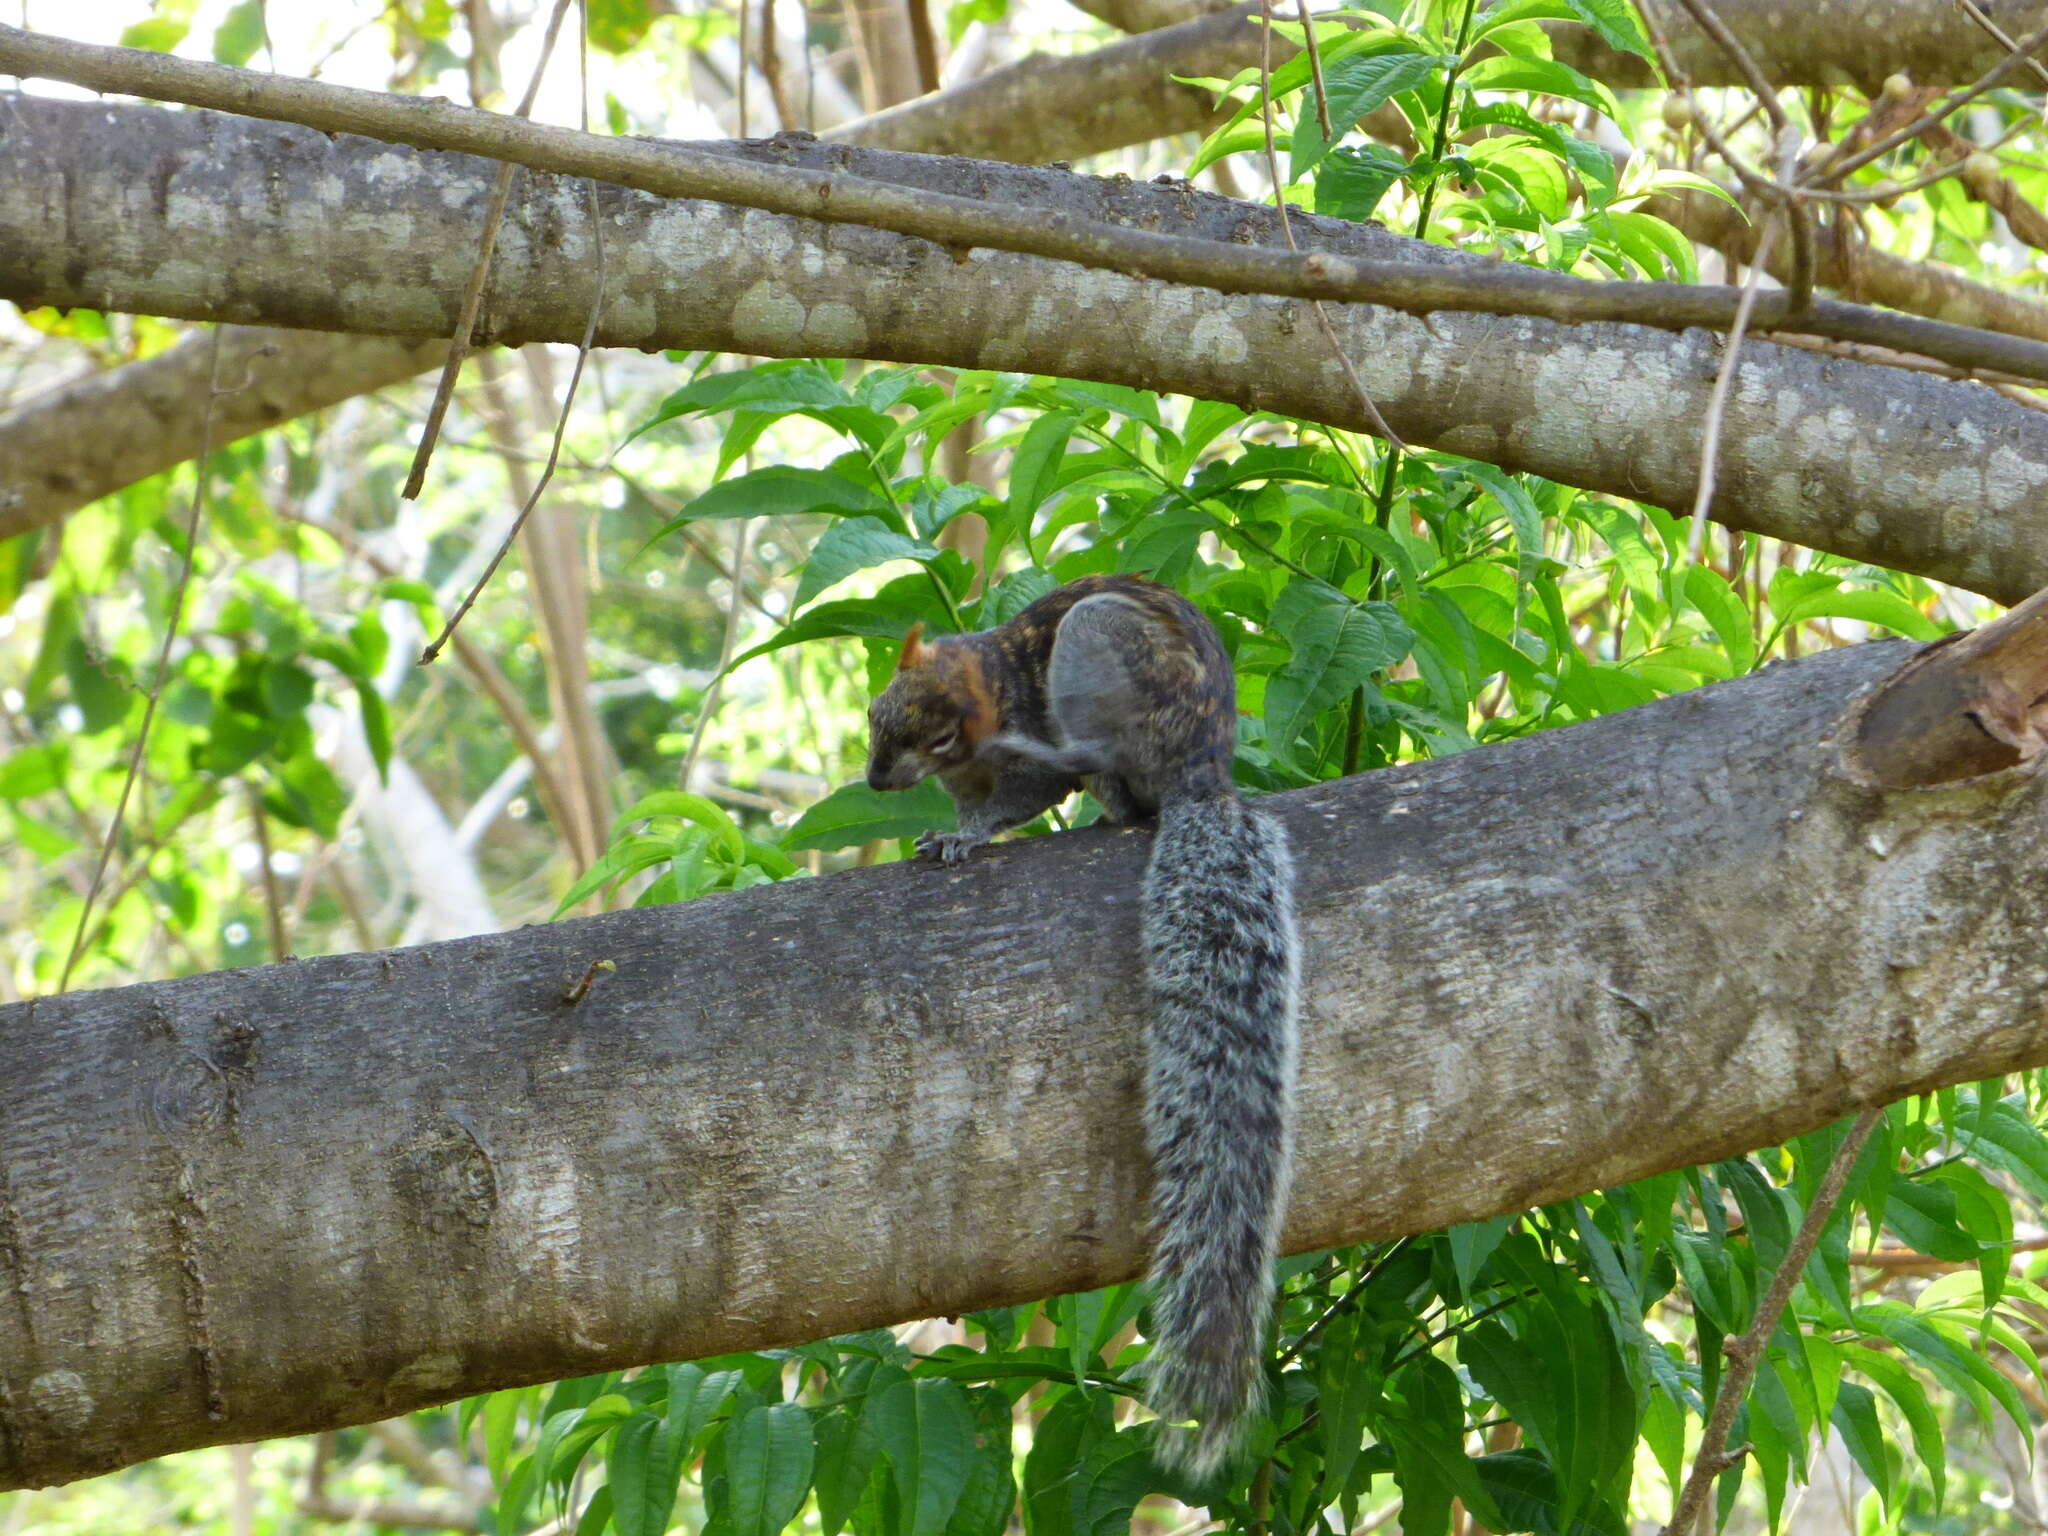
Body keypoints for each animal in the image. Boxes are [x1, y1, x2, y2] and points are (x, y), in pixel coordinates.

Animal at [864, 573, 1294, 1482]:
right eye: (881, 718)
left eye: (940, 734)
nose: (880, 780)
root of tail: (1203, 770)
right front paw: (953, 827)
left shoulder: (1015, 766)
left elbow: (1013, 804)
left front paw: (965, 838)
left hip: (1103, 655)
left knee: (1111, 775)